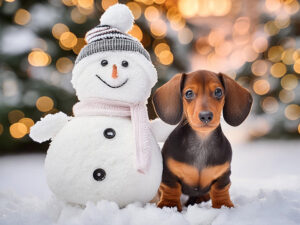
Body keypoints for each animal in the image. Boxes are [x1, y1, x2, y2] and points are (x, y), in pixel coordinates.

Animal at [152, 70, 253, 211]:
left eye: (218, 92)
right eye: (189, 93)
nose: (206, 116)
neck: (202, 142)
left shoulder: (223, 175)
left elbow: (220, 189)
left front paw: (223, 205)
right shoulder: (169, 173)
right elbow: (171, 188)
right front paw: (169, 205)